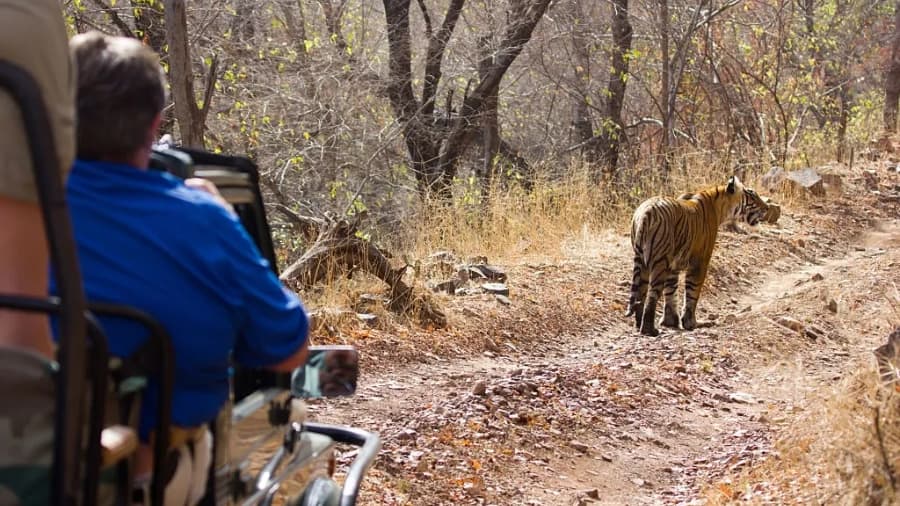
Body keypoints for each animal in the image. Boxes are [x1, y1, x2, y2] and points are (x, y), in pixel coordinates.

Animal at [624, 176, 769, 336]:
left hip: (643, 261)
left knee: (640, 294)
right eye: (753, 197)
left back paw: (639, 325)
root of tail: (646, 212)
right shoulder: (700, 260)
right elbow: (692, 292)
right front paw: (691, 323)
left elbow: (671, 291)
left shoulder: (673, 265)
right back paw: (650, 330)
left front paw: (671, 321)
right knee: (652, 294)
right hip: (659, 262)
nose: (767, 208)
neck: (720, 206)